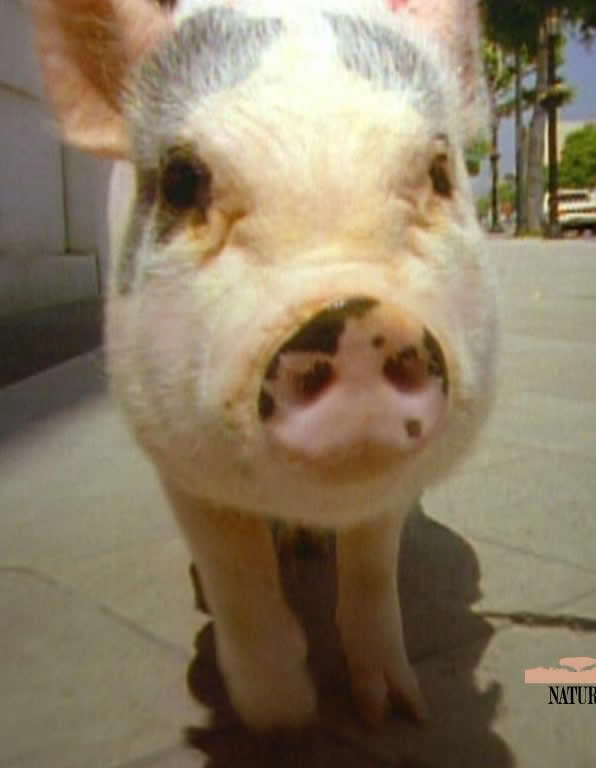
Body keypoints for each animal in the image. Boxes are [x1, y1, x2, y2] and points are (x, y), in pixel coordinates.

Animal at [30, 0, 497, 730]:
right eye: (182, 181)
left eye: (440, 172)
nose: (356, 315)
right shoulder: (172, 452)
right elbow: (235, 570)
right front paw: (283, 718)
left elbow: (371, 568)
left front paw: (396, 714)